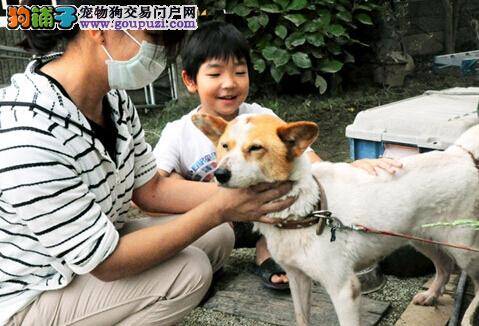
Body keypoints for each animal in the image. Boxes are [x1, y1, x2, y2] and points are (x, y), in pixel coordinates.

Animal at [192, 112, 479, 326]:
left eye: (255, 148)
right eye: (225, 146)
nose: (220, 174)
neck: (305, 209)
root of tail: (459, 154)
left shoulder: (344, 290)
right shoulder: (297, 277)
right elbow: (301, 317)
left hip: (463, 249)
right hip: (420, 238)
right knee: (444, 266)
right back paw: (431, 295)